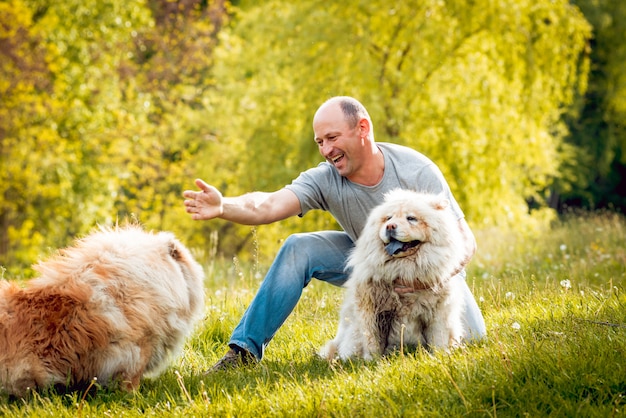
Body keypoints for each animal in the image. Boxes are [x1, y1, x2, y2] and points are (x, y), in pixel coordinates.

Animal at [320, 189, 466, 360]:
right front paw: (372, 361)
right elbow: (373, 340)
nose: (390, 226)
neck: (403, 268)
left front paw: (439, 356)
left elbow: (438, 338)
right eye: (388, 218)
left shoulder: (438, 312)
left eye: (411, 218)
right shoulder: (373, 311)